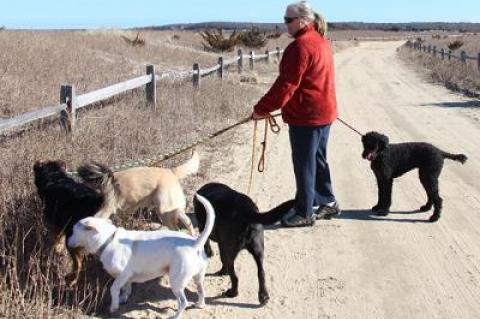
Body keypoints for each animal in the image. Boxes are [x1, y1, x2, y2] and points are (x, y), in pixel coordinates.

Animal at [67, 194, 216, 318]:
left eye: (73, 231)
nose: (67, 242)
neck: (108, 240)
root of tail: (195, 243)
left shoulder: (122, 275)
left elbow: (114, 289)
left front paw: (114, 306)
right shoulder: (126, 277)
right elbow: (126, 289)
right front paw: (123, 299)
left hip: (176, 283)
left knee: (183, 302)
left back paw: (176, 316)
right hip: (198, 278)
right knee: (201, 291)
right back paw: (200, 304)